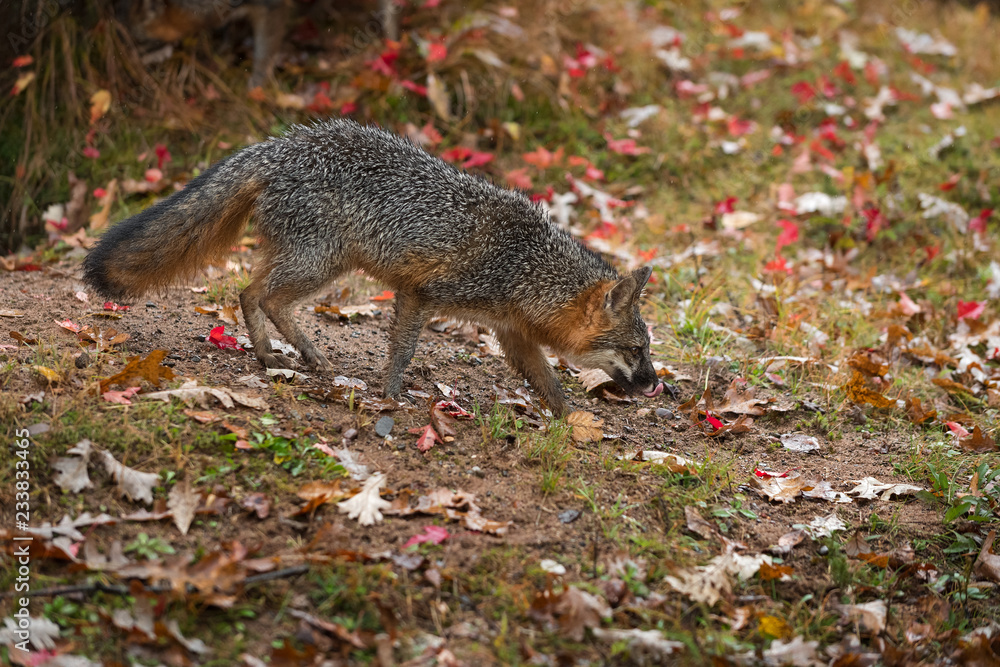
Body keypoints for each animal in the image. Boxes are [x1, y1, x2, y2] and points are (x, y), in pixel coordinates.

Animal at [83, 119, 663, 417]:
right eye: (637, 352)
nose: (658, 386)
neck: (525, 266)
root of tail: (280, 144)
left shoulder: (511, 332)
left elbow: (547, 380)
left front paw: (572, 418)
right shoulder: (421, 293)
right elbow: (403, 350)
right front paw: (390, 394)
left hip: (314, 261)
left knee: (252, 293)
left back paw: (279, 356)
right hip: (321, 263)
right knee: (261, 296)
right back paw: (298, 357)